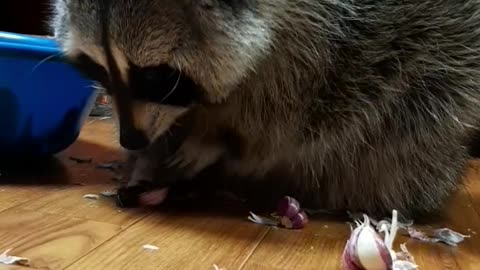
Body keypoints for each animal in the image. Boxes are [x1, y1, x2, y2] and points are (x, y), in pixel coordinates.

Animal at [49, 0, 480, 218]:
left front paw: (218, 140)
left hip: (438, 85)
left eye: (156, 76)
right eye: (96, 67)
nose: (132, 139)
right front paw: (150, 158)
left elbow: (302, 104)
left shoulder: (335, 34)